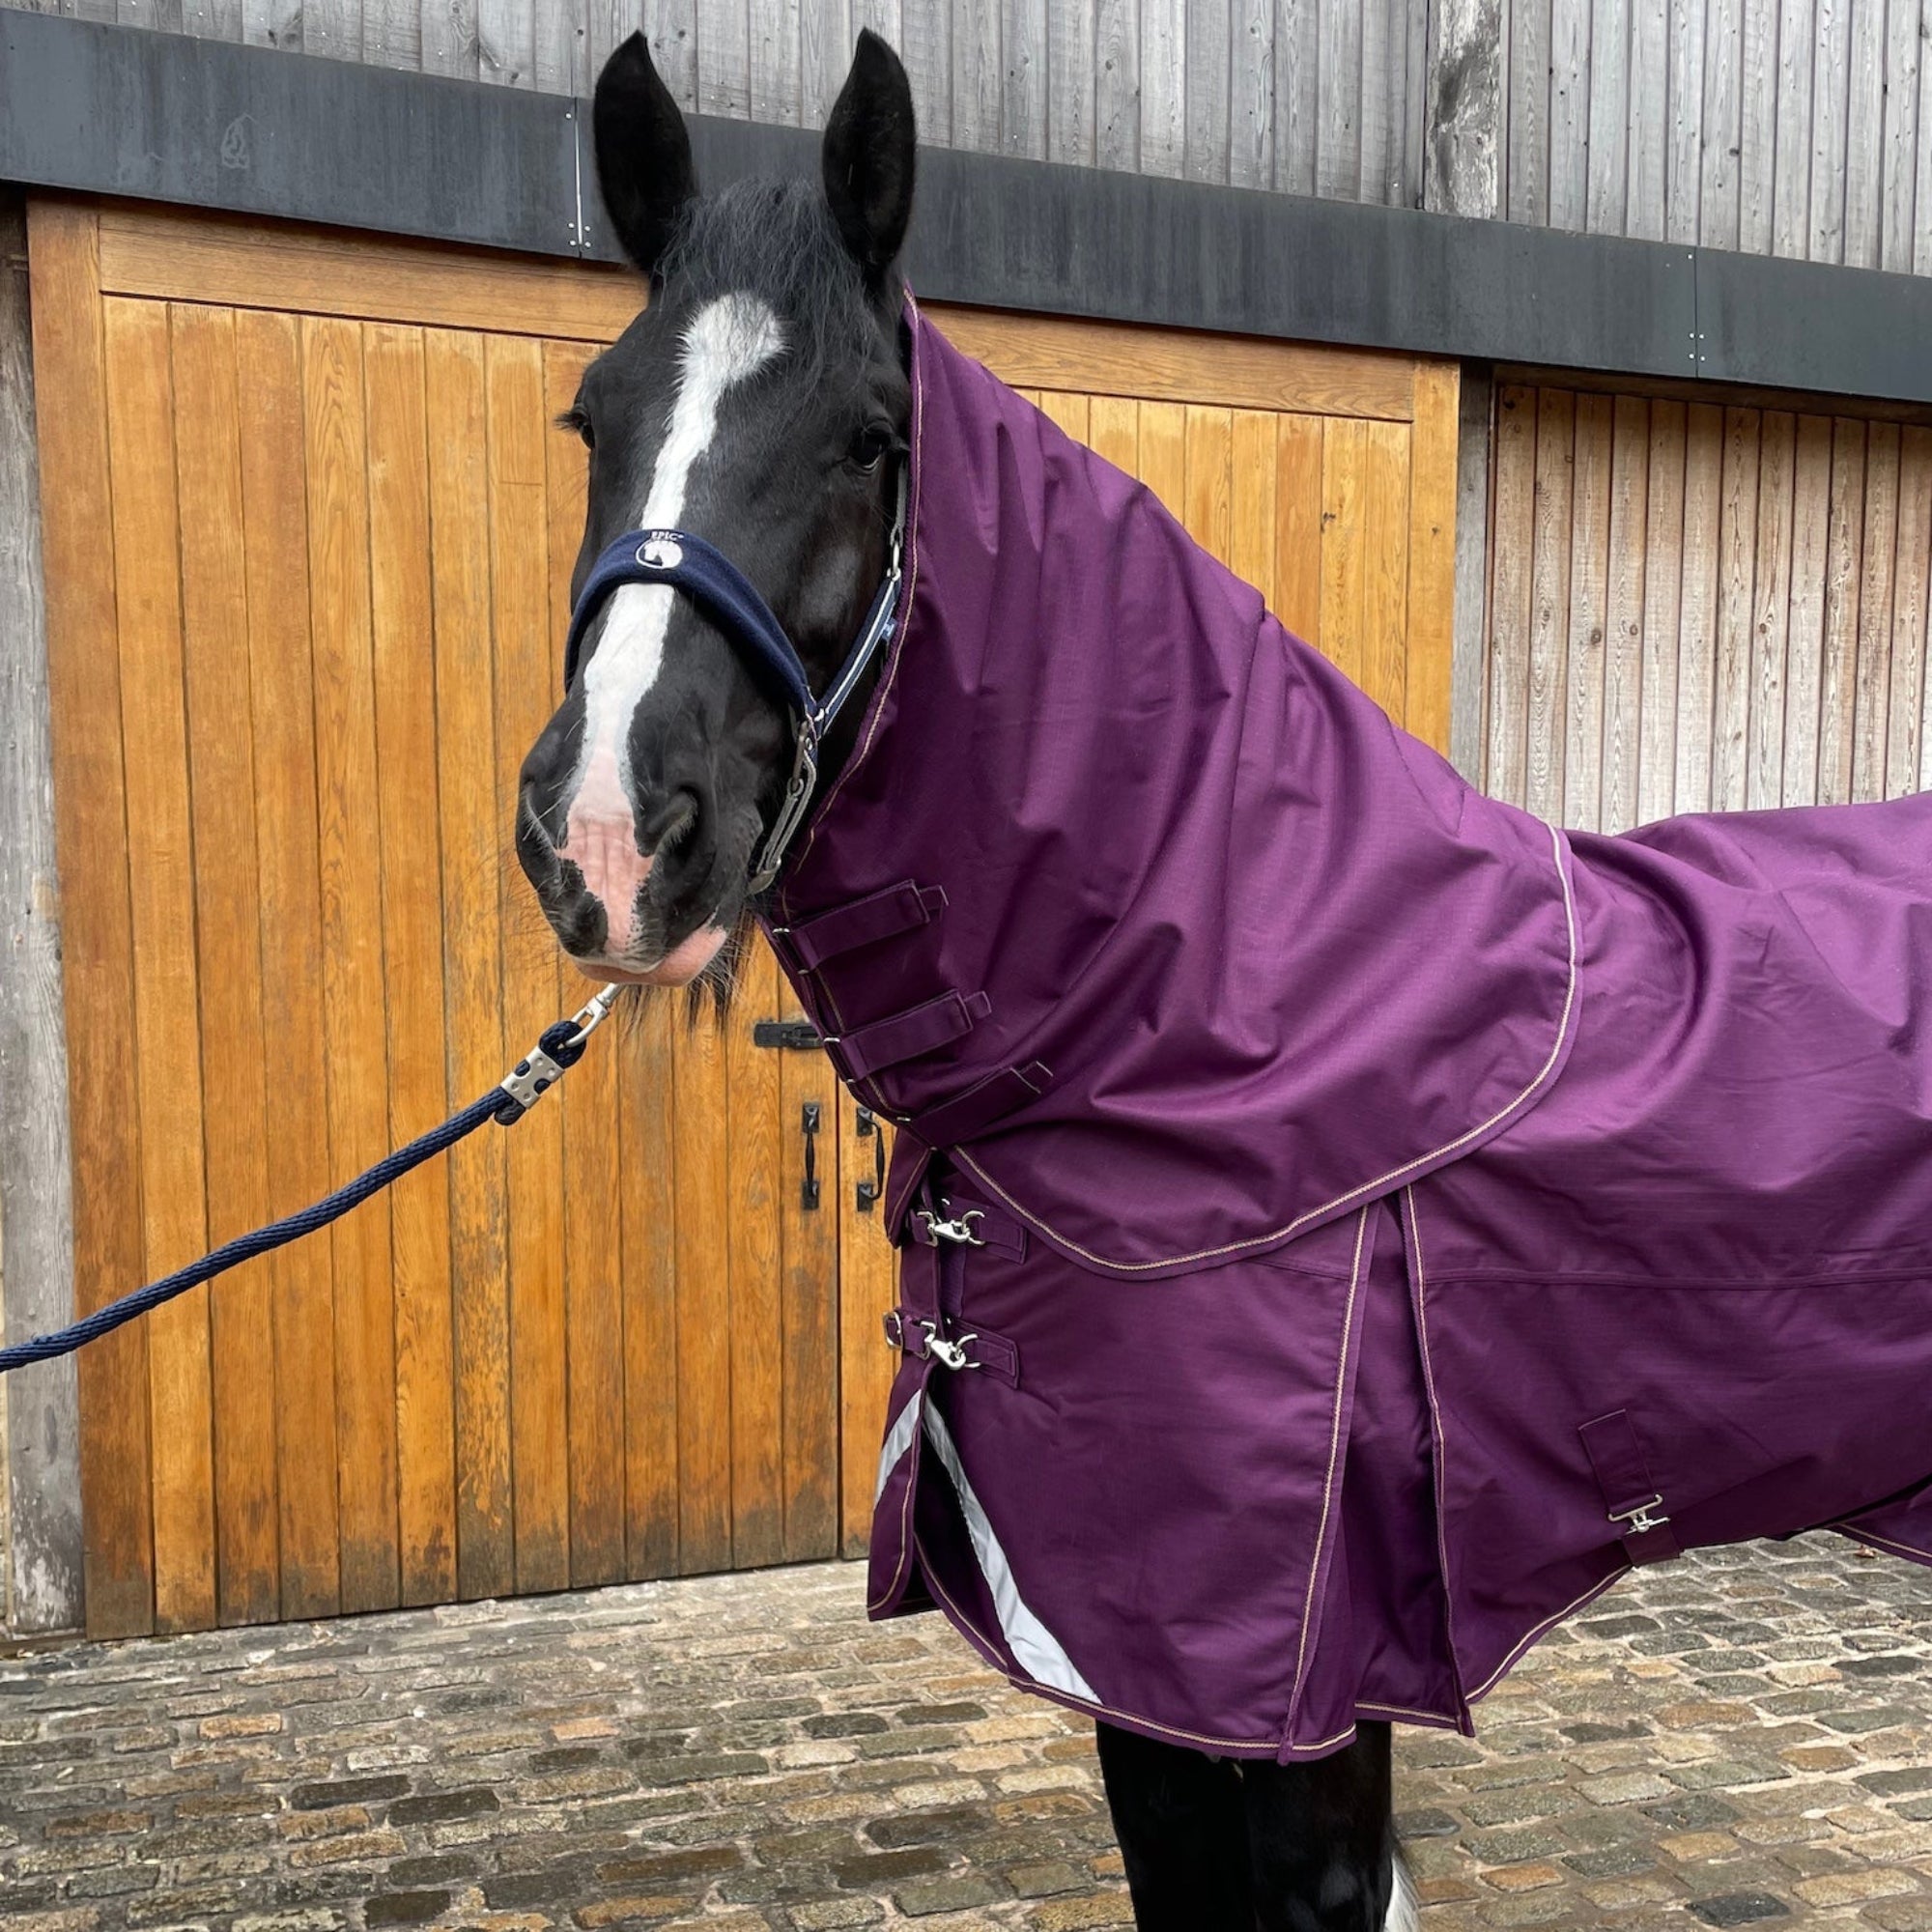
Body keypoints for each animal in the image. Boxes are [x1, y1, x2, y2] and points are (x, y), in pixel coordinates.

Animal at [516, 27, 1932, 1931]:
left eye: (873, 438)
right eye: (592, 418)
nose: (609, 838)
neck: (1229, 1017)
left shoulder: (1289, 1682)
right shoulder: (1139, 1677)